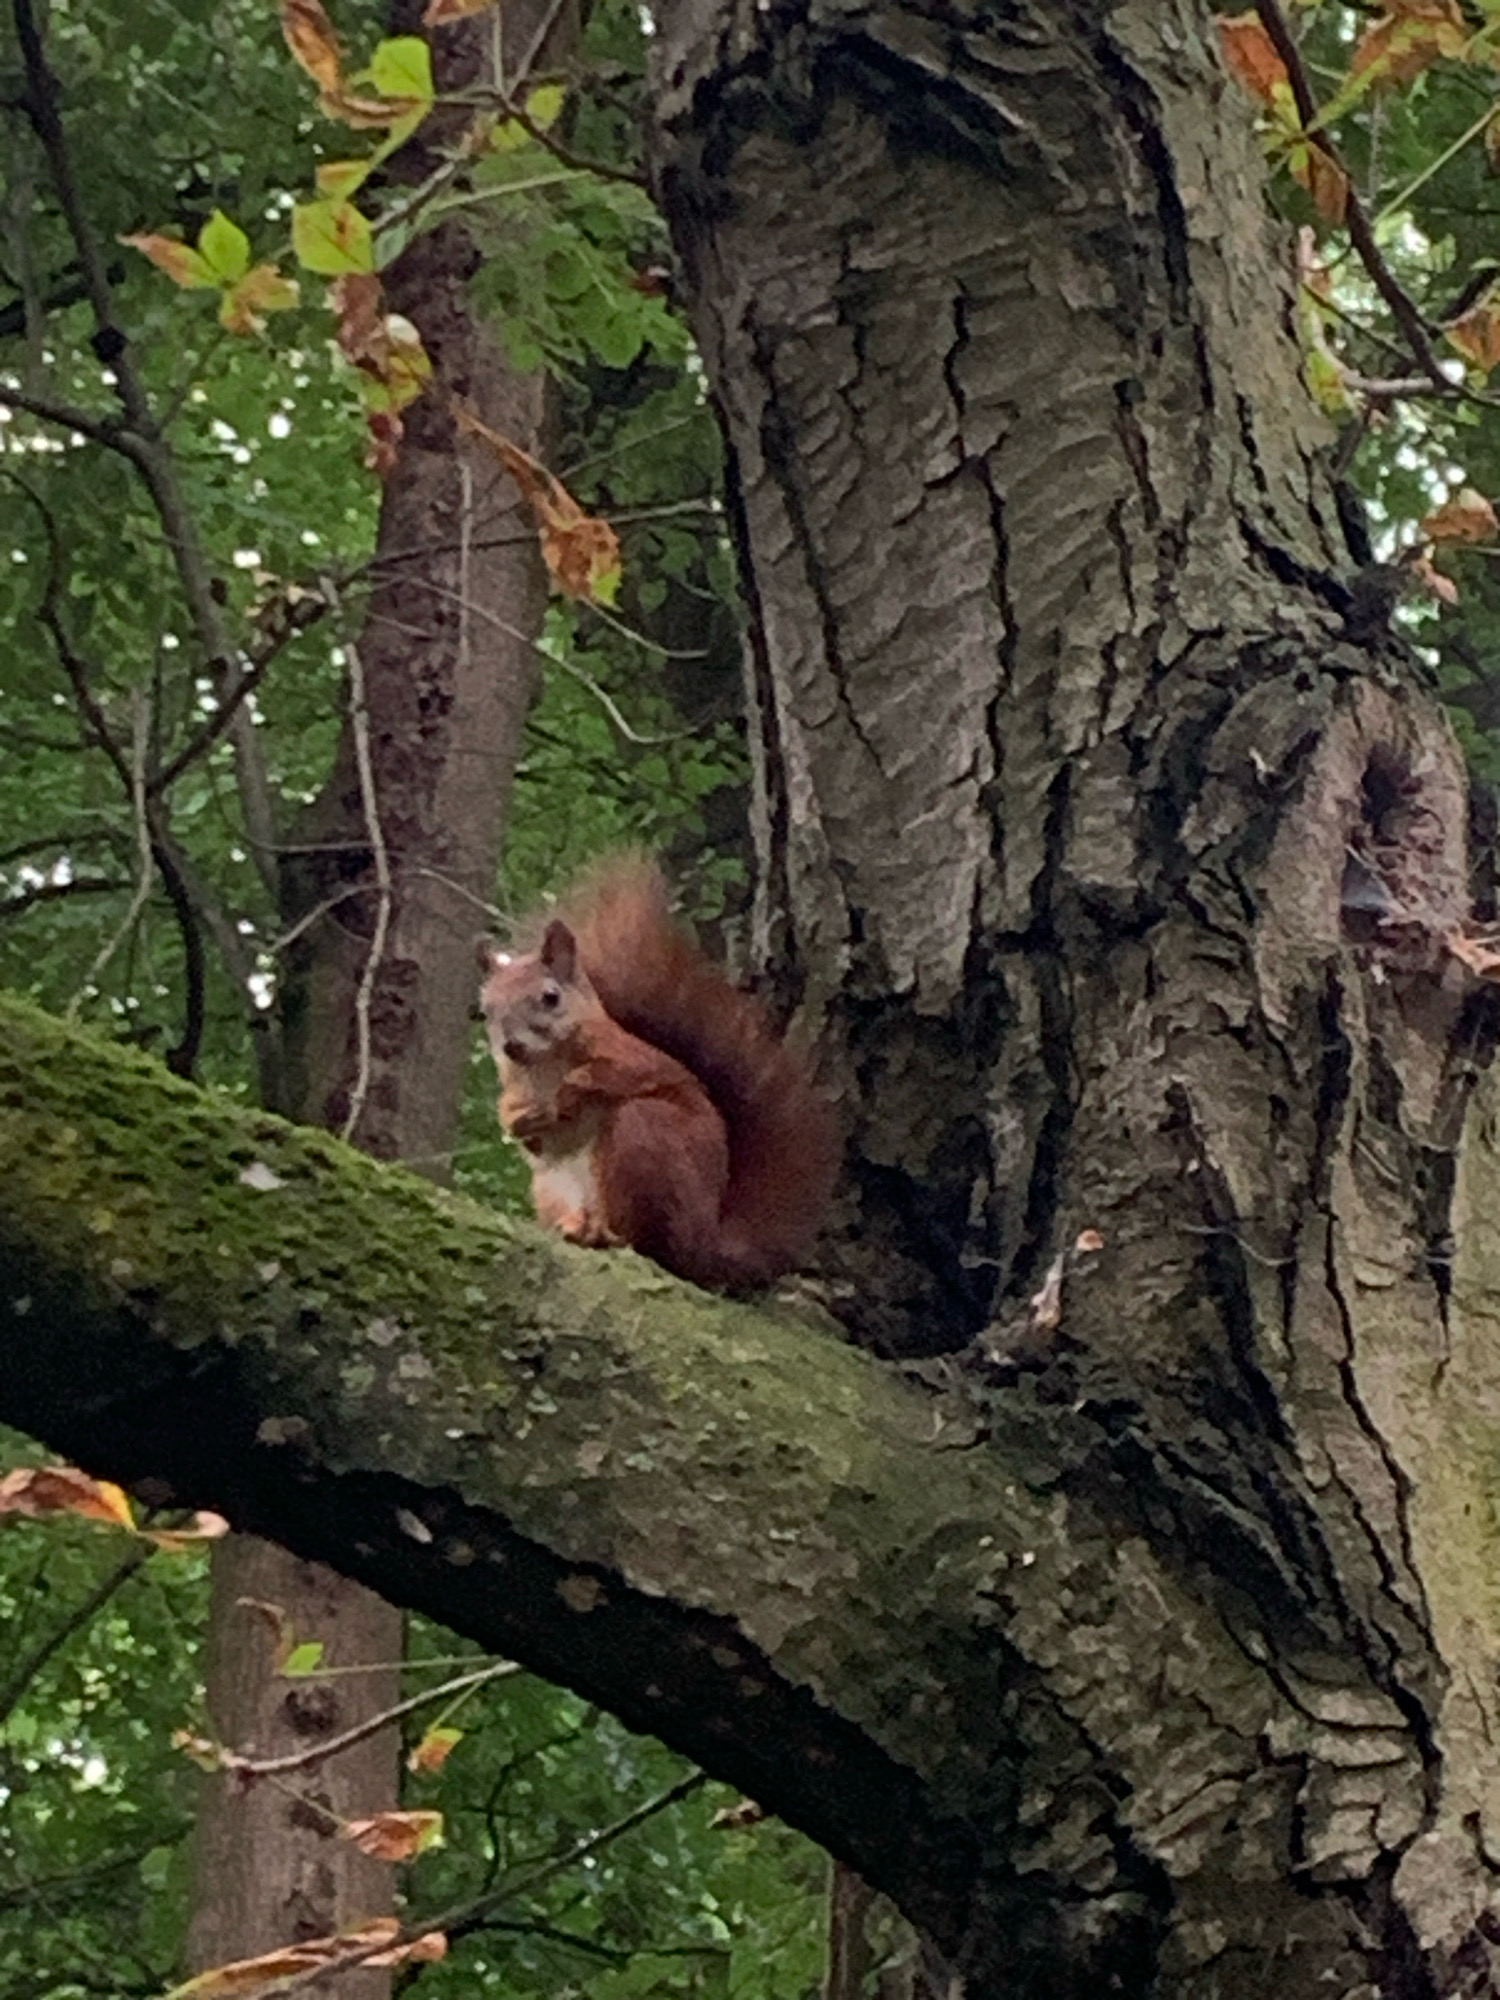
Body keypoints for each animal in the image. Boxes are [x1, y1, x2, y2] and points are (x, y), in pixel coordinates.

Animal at [479, 854, 839, 1290]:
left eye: (551, 997)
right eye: (485, 1010)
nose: (511, 1046)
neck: (543, 1065)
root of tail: (705, 1241)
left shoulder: (634, 1058)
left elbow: (615, 1075)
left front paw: (571, 1090)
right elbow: (526, 1125)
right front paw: (517, 1120)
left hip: (645, 1136)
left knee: (651, 1241)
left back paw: (608, 1234)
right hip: (552, 1188)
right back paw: (576, 1227)